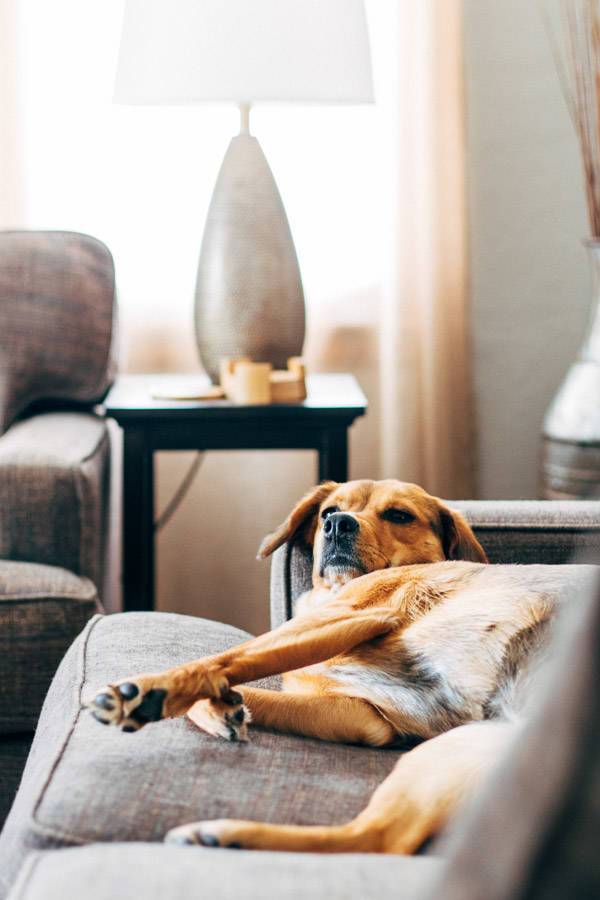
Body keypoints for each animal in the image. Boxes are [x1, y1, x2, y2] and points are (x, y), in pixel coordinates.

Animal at [88, 478, 556, 852]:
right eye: (329, 510)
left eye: (399, 515)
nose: (338, 524)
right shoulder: (365, 719)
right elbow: (244, 685)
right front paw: (222, 708)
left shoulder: (349, 616)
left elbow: (226, 658)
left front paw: (148, 692)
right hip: (460, 751)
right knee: (375, 840)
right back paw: (222, 837)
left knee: (373, 840)